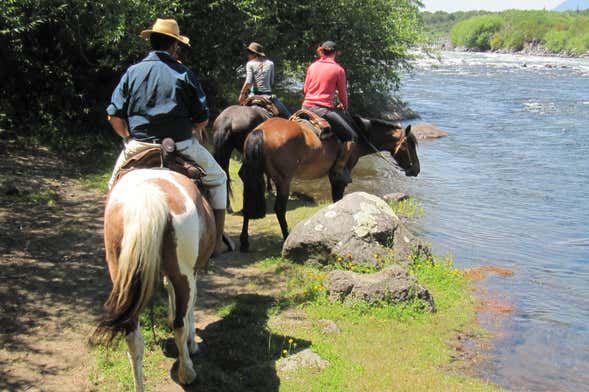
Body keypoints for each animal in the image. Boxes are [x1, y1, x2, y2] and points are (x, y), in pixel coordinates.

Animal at [89, 170, 214, 390]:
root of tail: (147, 197)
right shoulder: (192, 273)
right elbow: (190, 308)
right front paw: (193, 345)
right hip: (183, 275)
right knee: (179, 324)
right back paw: (187, 372)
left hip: (122, 279)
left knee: (133, 340)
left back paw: (139, 385)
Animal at [238, 116, 418, 251]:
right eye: (410, 144)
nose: (416, 169)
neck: (360, 137)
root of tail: (260, 131)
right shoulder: (338, 176)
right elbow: (337, 199)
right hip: (283, 180)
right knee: (279, 210)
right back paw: (286, 237)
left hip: (252, 175)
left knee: (248, 204)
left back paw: (244, 242)